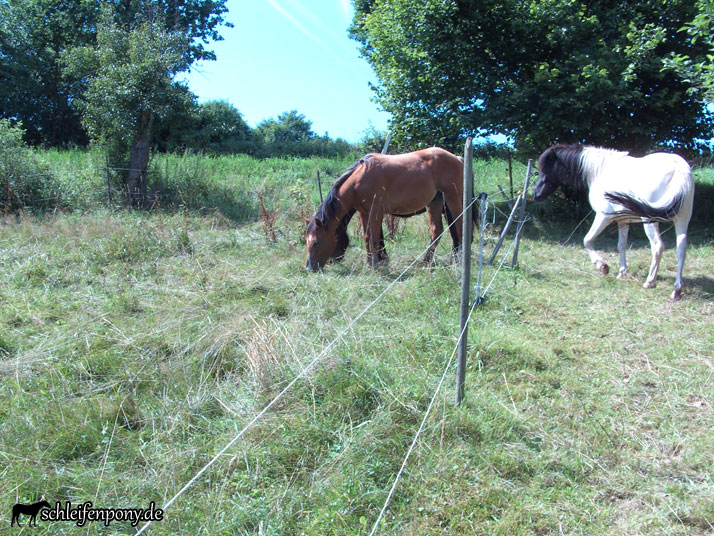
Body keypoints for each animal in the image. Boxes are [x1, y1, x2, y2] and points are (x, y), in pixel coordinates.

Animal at [306, 147, 468, 270]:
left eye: (316, 242)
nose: (309, 268)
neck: (359, 180)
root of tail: (457, 158)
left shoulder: (376, 212)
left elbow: (374, 238)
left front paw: (374, 266)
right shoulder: (363, 213)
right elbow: (367, 237)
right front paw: (368, 264)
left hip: (452, 198)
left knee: (460, 226)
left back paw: (460, 261)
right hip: (435, 203)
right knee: (437, 231)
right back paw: (426, 262)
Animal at [532, 144, 692, 300]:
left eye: (545, 169)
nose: (535, 194)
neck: (600, 171)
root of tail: (679, 169)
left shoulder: (603, 216)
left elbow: (587, 240)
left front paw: (602, 266)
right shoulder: (622, 220)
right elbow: (621, 245)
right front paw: (622, 273)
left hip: (650, 221)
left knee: (658, 246)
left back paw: (650, 282)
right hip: (682, 220)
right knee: (681, 249)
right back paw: (676, 290)